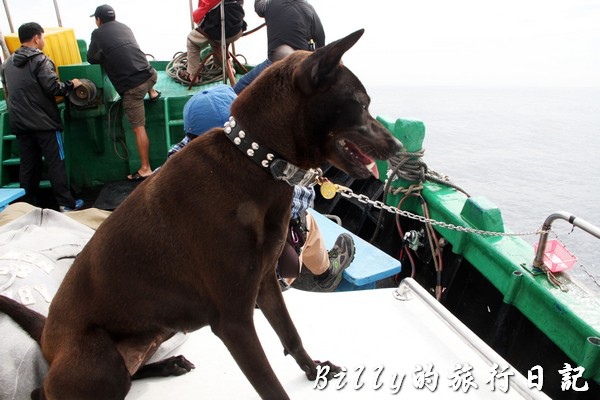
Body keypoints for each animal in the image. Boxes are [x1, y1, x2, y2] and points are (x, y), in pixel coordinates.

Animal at [2, 29, 404, 398]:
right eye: (361, 103)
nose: (399, 146)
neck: (256, 162)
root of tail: (47, 336)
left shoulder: (265, 283)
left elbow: (291, 334)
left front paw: (313, 368)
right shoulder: (234, 321)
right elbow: (271, 387)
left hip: (148, 337)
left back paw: (169, 364)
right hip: (100, 362)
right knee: (47, 391)